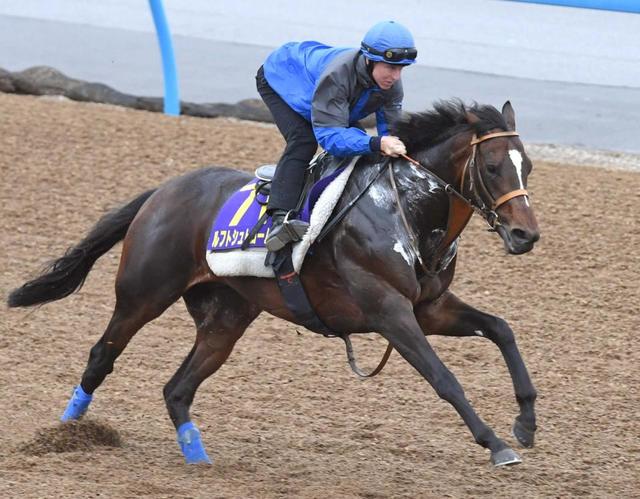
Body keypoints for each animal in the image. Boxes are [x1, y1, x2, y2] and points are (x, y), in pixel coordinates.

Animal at [8, 100, 540, 468]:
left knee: (177, 388)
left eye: (527, 166)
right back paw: (67, 431)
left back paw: (197, 456)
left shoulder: (430, 309)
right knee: (103, 354)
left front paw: (527, 422)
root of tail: (162, 191)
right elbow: (444, 378)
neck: (404, 208)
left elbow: (502, 329)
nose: (525, 235)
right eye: (492, 166)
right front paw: (496, 444)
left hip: (226, 316)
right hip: (144, 293)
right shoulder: (390, 312)